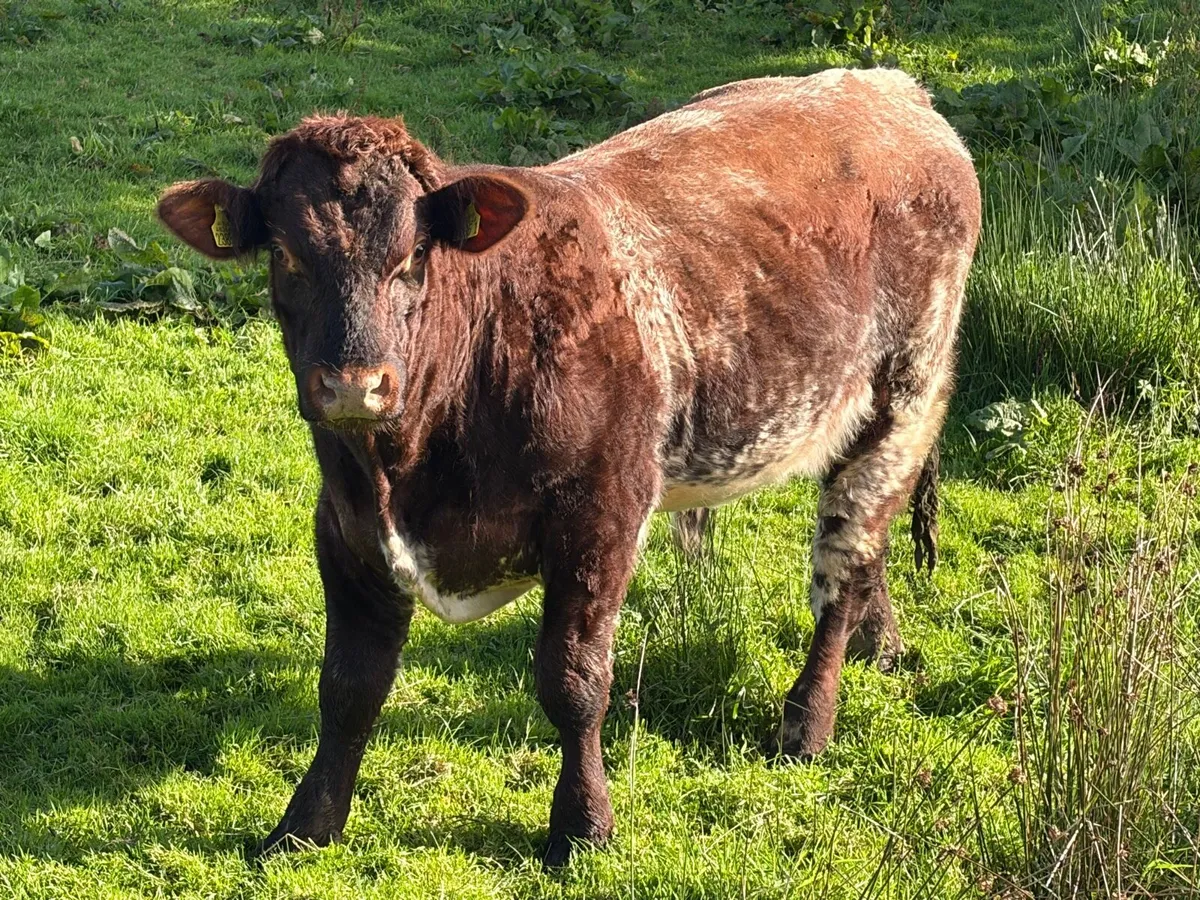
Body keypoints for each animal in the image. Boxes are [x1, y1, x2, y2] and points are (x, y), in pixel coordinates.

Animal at [157, 67, 980, 867]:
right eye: (286, 256)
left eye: (414, 256)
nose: (355, 384)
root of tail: (894, 90)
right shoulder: (348, 528)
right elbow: (348, 687)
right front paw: (305, 824)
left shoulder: (600, 517)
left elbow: (573, 681)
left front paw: (582, 826)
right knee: (867, 550)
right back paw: (883, 646)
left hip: (903, 393)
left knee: (843, 563)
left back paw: (808, 721)